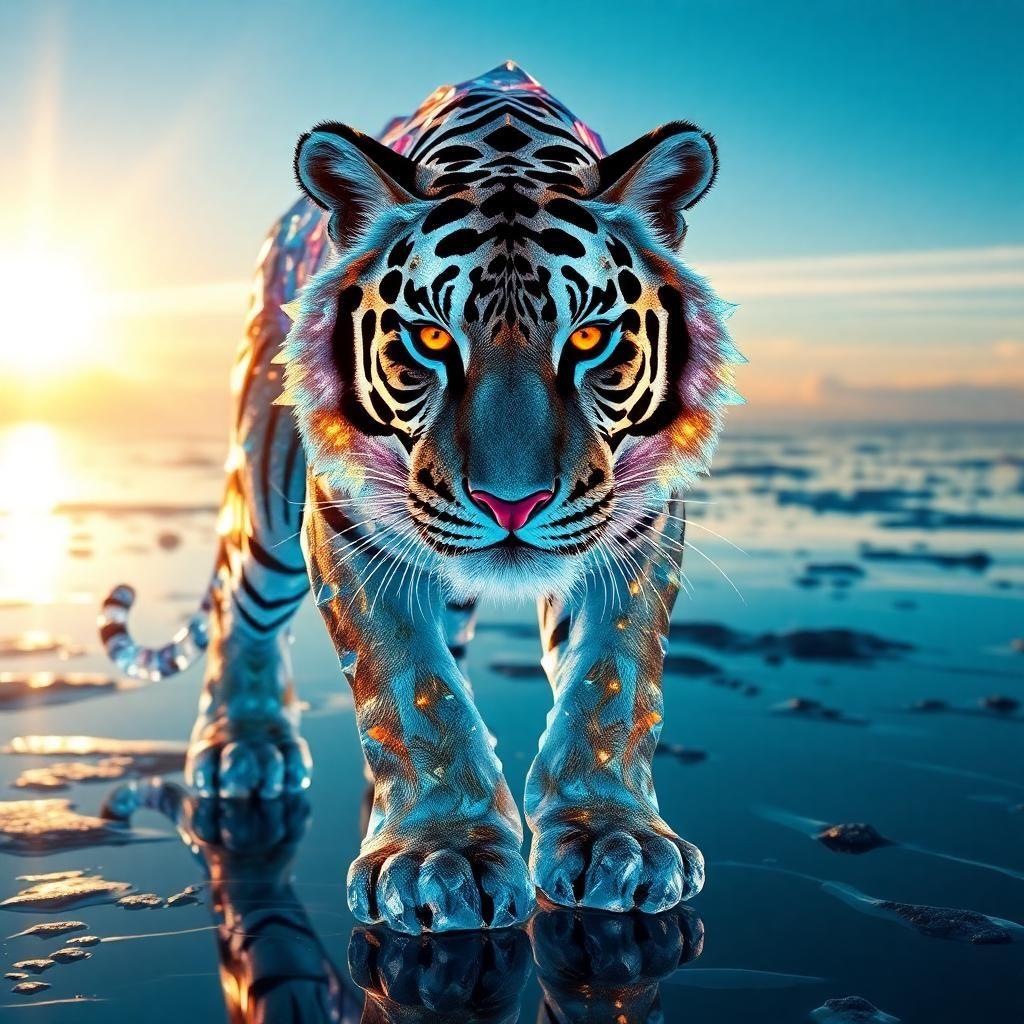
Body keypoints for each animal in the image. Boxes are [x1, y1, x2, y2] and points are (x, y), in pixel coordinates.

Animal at [98, 62, 742, 933]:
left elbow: (611, 675)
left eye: (587, 338)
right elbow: (412, 684)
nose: (512, 504)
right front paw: (444, 856)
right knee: (243, 606)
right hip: (266, 487)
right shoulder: (353, 522)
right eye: (432, 339)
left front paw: (615, 839)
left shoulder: (637, 519)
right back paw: (245, 748)